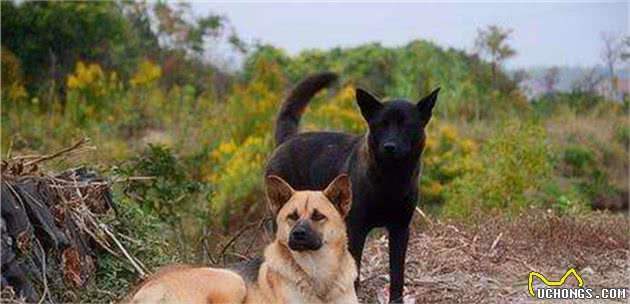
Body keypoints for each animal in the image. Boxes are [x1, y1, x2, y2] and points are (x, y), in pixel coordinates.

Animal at [266, 72, 440, 302]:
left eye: (407, 125)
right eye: (381, 124)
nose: (389, 147)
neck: (390, 181)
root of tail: (288, 139)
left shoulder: (400, 229)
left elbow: (397, 273)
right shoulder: (356, 228)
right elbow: (354, 270)